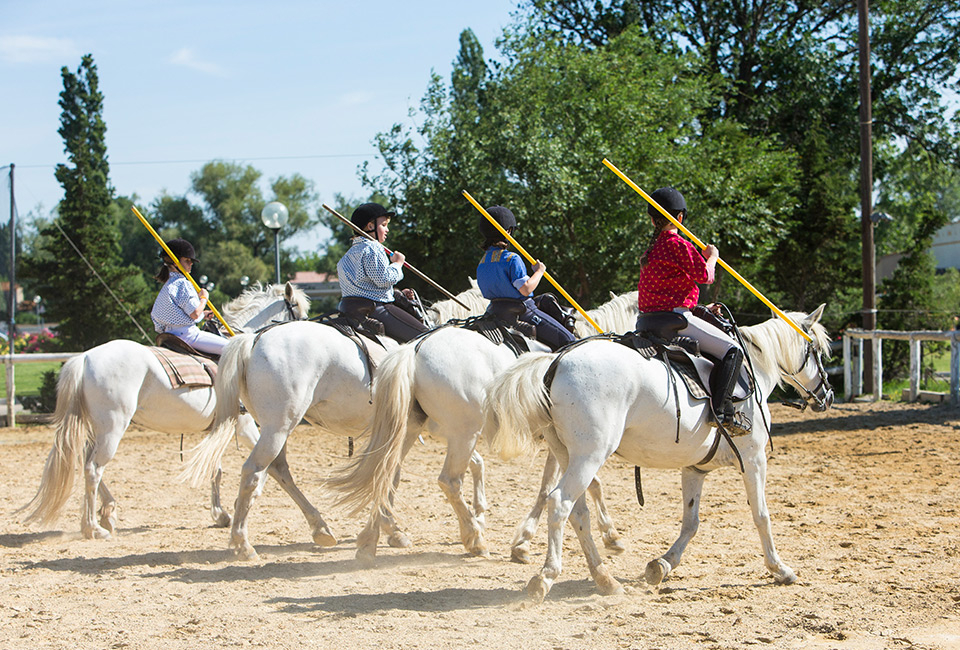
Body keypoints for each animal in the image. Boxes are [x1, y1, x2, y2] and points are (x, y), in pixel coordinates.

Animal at [19, 282, 308, 536]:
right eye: (297, 309)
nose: (308, 326)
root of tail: (85, 357)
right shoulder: (244, 425)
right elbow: (262, 465)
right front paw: (242, 502)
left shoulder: (219, 427)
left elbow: (215, 469)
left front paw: (222, 514)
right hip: (112, 428)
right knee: (93, 469)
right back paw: (93, 528)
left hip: (96, 428)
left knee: (87, 462)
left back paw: (108, 512)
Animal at [182, 284, 488, 556]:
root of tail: (252, 341)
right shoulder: (445, 427)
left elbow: (401, 472)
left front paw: (390, 529)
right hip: (278, 428)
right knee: (252, 472)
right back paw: (242, 544)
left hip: (274, 427)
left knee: (278, 470)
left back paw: (320, 528)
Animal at [328, 292, 636, 560]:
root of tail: (414, 350)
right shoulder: (568, 445)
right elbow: (562, 487)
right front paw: (607, 535)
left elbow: (582, 485)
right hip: (464, 433)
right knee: (449, 481)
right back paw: (474, 539)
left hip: (409, 429)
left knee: (384, 471)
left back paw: (371, 540)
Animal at [488, 306, 832, 600]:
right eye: (816, 350)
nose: (827, 395)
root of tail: (556, 361)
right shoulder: (753, 459)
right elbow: (761, 515)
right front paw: (780, 569)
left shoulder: (695, 469)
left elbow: (691, 522)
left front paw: (661, 566)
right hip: (589, 456)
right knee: (560, 503)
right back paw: (546, 576)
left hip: (567, 455)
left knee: (578, 511)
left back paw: (604, 579)